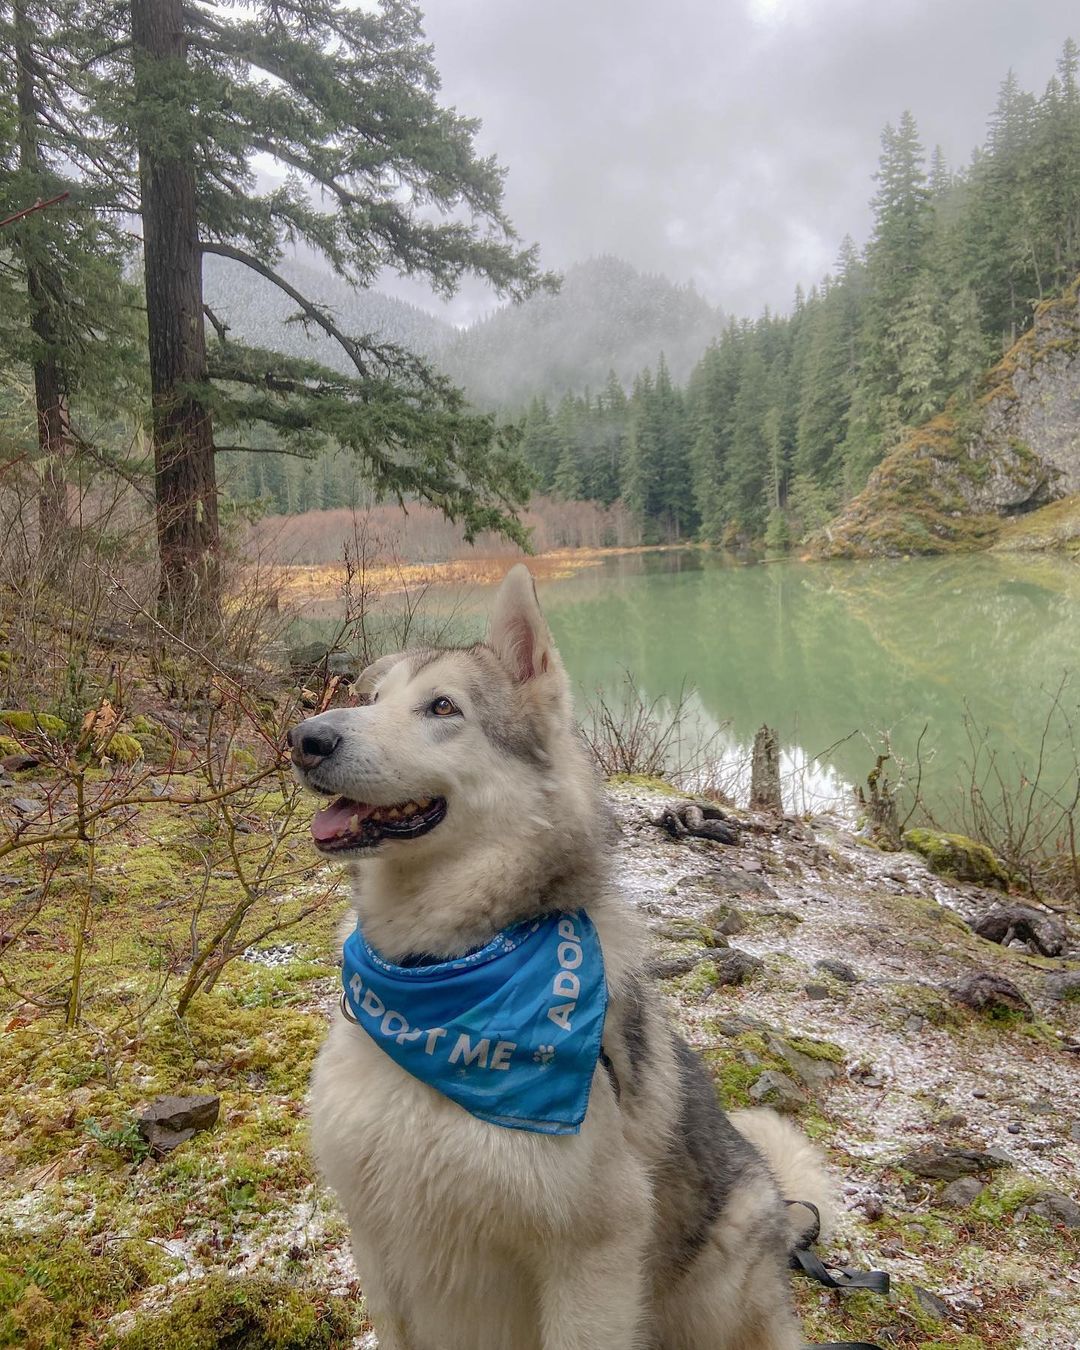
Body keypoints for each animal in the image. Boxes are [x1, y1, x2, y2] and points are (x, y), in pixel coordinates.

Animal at [292, 567, 837, 1350]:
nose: (305, 738)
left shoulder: (592, 1256)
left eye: (442, 706)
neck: (438, 984)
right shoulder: (377, 1243)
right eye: (371, 698)